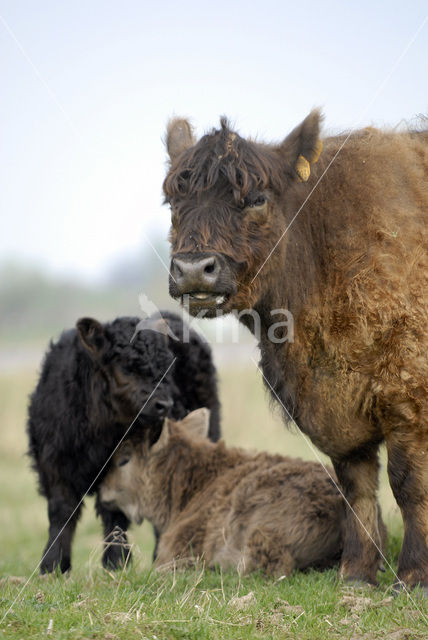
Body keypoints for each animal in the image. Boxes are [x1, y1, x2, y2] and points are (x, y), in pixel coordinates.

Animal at [162, 112, 426, 592]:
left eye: (257, 199)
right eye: (173, 201)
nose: (193, 269)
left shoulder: (407, 400)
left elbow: (408, 483)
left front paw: (414, 576)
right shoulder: (338, 415)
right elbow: (356, 487)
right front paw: (355, 575)